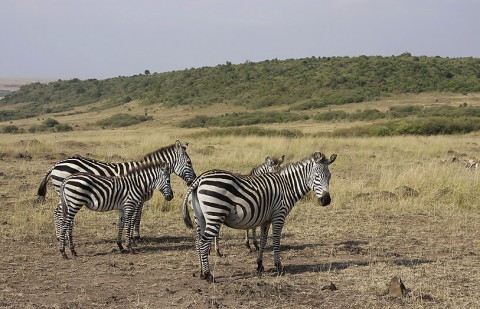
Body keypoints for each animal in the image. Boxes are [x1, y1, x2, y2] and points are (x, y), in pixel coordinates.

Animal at [36, 139, 197, 241]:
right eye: (189, 162)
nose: (193, 180)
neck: (145, 175)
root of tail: (56, 164)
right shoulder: (136, 198)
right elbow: (134, 218)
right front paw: (133, 237)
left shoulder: (138, 200)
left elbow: (137, 217)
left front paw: (134, 236)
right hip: (66, 193)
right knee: (59, 212)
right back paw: (60, 237)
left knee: (58, 211)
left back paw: (61, 236)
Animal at [182, 151, 336, 282]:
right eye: (316, 177)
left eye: (329, 176)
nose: (326, 201)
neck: (287, 186)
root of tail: (200, 179)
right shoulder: (279, 215)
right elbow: (276, 240)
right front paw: (279, 266)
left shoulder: (265, 220)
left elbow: (263, 241)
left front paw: (260, 265)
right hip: (215, 214)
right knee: (203, 243)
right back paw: (208, 275)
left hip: (200, 217)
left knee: (198, 242)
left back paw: (201, 273)